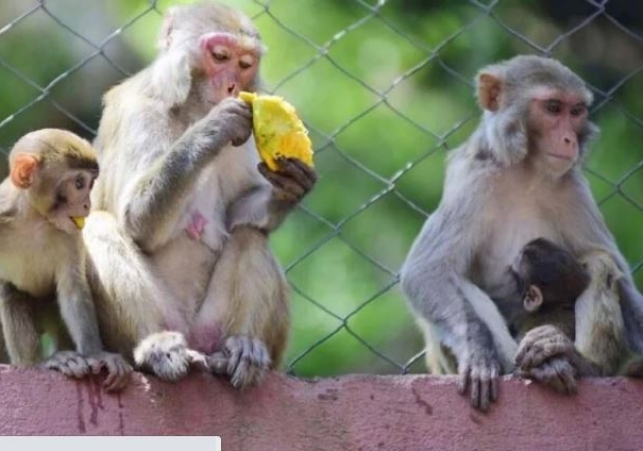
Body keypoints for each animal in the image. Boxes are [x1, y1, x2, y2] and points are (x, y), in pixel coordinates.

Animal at [0, 128, 132, 392]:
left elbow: (73, 289)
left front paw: (95, 354)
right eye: (79, 183)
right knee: (11, 291)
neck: (33, 218)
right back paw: (36, 364)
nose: (87, 204)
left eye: (91, 184)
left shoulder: (70, 234)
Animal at [82, 0, 318, 388]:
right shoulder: (140, 113)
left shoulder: (245, 137)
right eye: (220, 56)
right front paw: (213, 128)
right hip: (146, 328)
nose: (233, 85)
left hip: (215, 327)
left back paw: (242, 349)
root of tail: (194, 340)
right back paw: (156, 346)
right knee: (99, 225)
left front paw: (290, 188)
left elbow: (238, 214)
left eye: (245, 63)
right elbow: (136, 221)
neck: (190, 108)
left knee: (250, 235)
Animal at [400, 54, 643, 412]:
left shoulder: (573, 187)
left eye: (576, 111)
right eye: (553, 108)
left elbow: (621, 277)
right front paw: (479, 353)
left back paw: (580, 363)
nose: (569, 139)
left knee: (599, 262)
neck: (527, 172)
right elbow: (426, 271)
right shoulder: (475, 181)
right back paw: (528, 368)